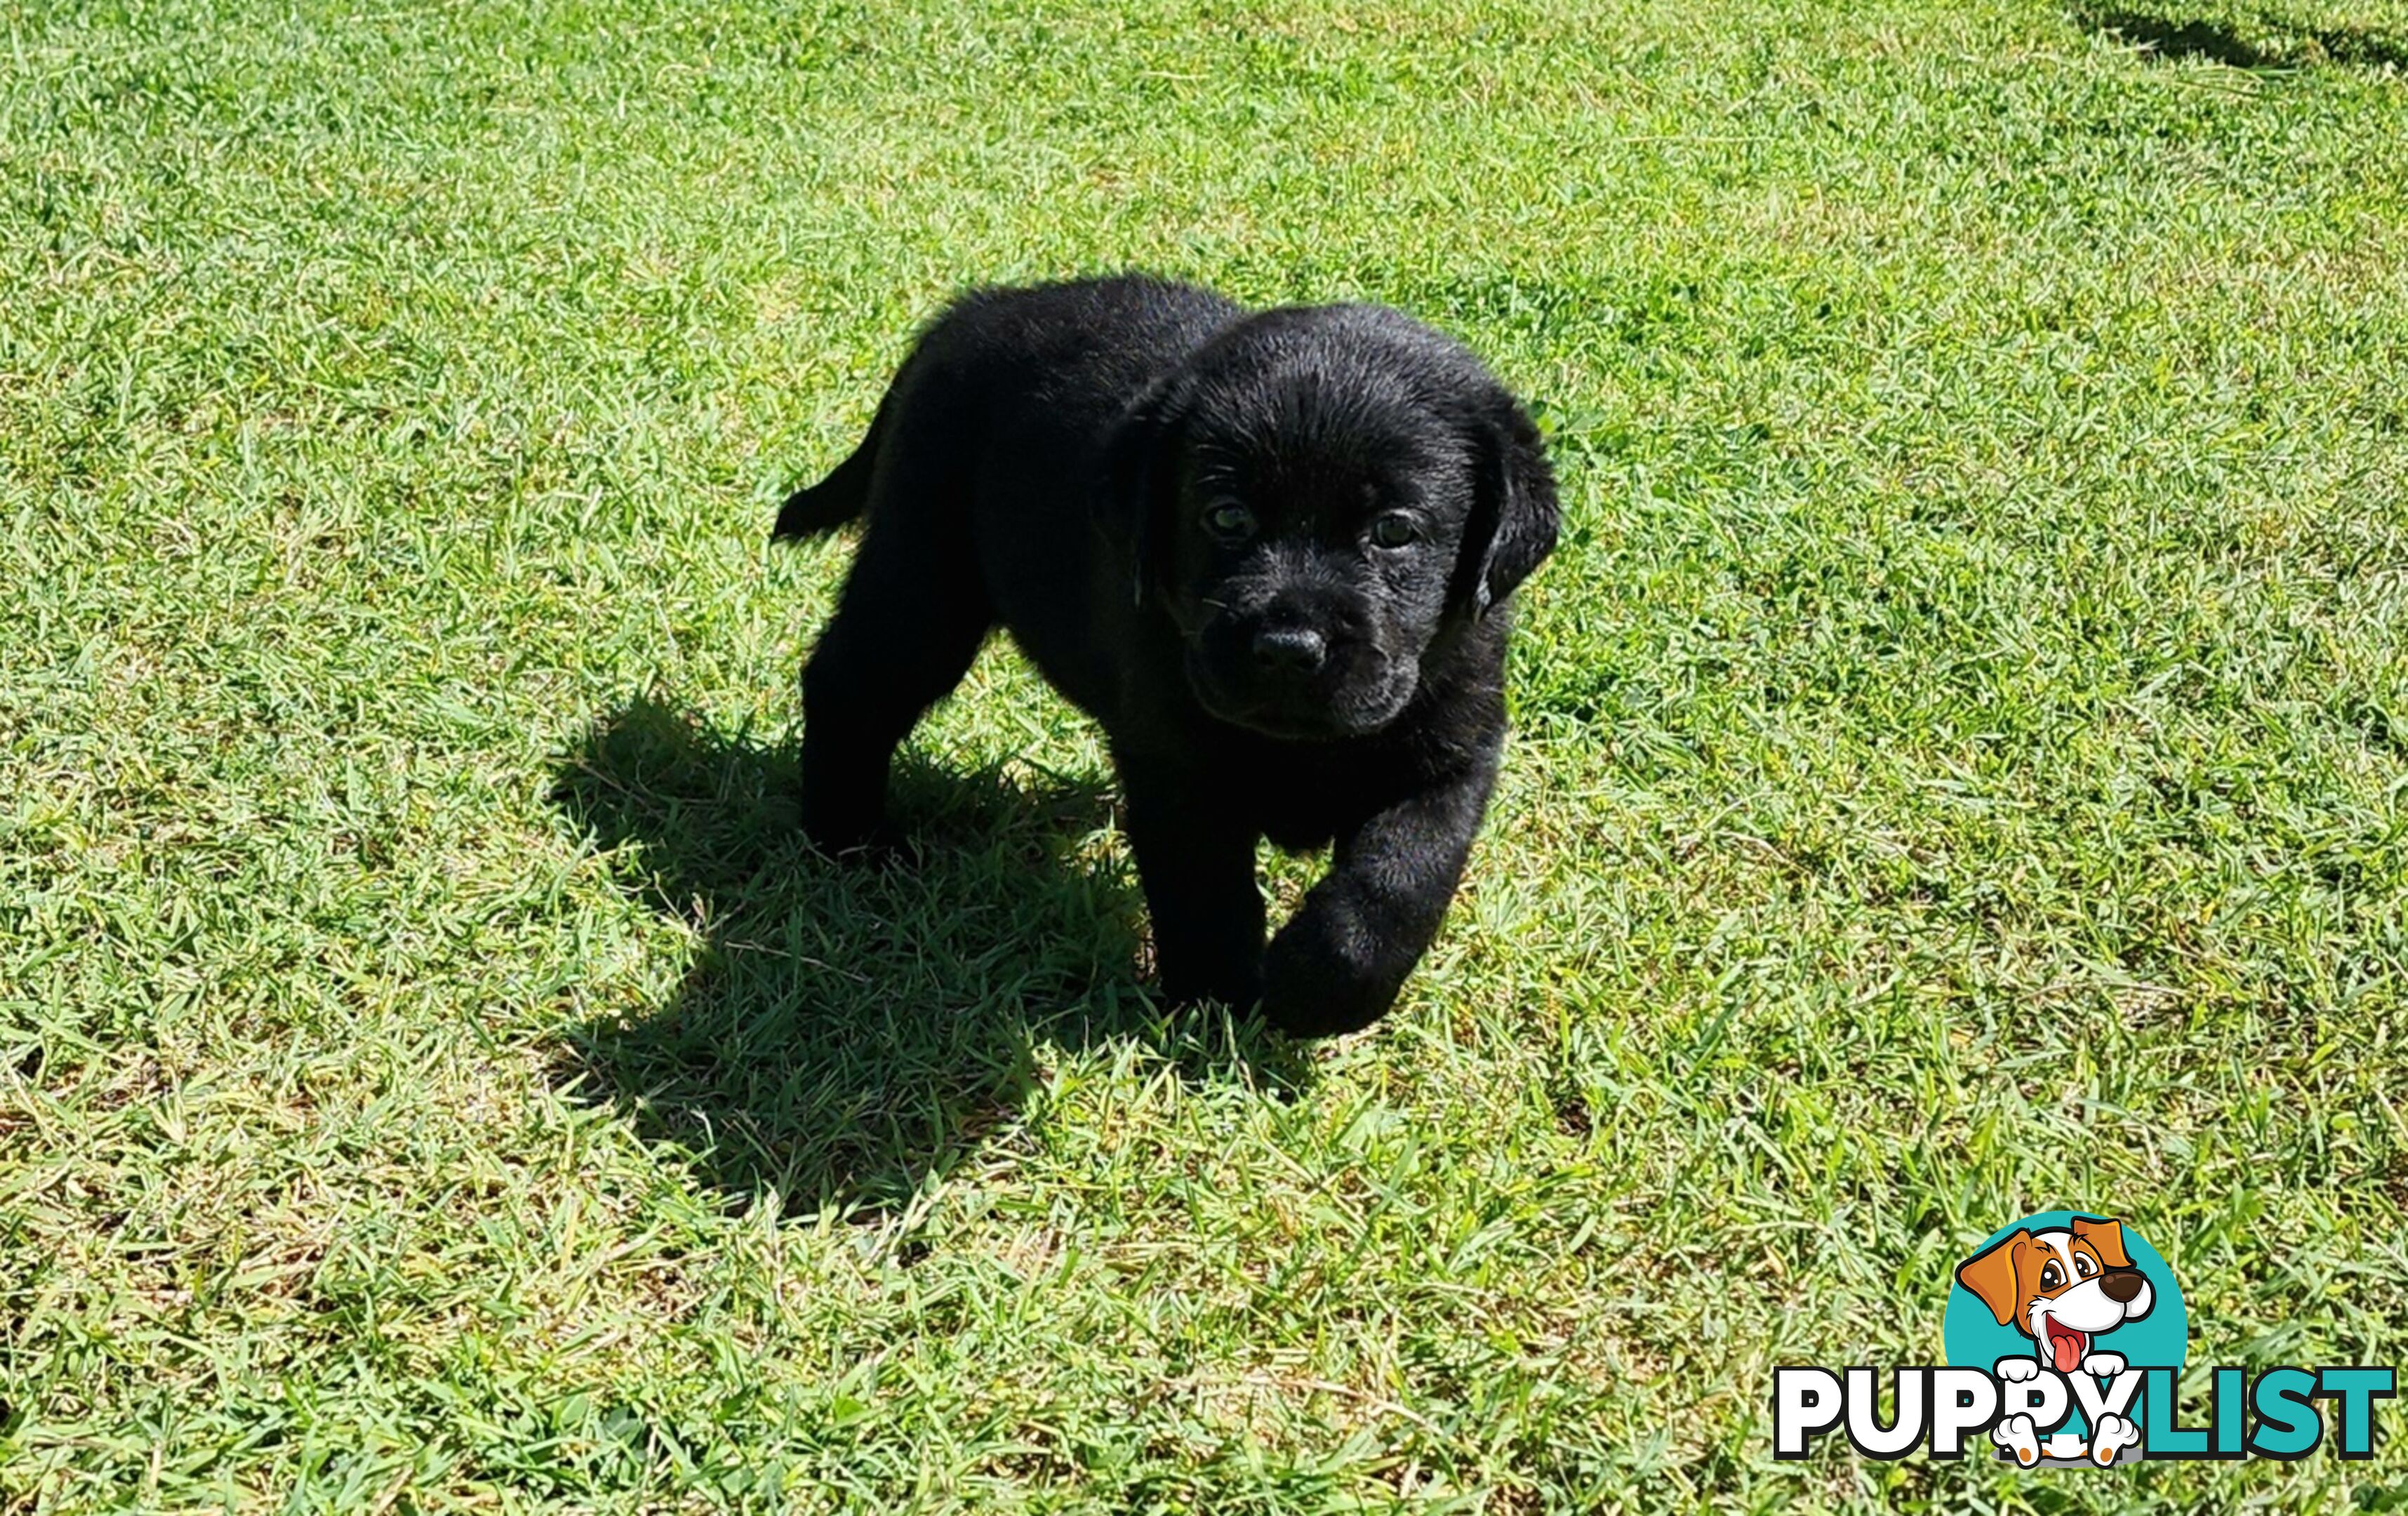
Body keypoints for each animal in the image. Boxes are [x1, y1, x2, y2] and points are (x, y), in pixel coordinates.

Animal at [770, 273, 1560, 1039]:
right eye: (1226, 518)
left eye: (1394, 530)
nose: (1287, 649)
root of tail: (975, 310)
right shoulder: (1176, 762)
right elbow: (1203, 890)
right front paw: (1217, 1007)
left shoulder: (1454, 749)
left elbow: (1402, 878)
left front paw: (1316, 990)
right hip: (923, 581)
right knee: (847, 684)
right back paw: (849, 841)